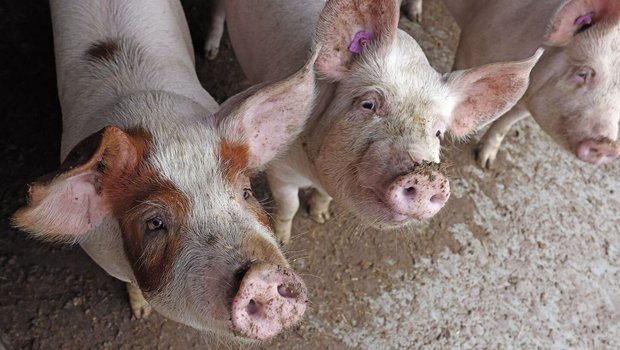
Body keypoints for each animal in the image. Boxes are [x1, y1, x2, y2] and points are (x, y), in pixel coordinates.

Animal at [10, 0, 330, 342]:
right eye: (154, 222)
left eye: (246, 192)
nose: (263, 275)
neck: (153, 114)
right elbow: (131, 284)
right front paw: (140, 313)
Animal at [223, 0, 544, 245]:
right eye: (369, 104)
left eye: (438, 132)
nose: (428, 176)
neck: (314, 173)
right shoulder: (280, 169)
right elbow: (289, 206)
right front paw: (283, 240)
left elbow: (321, 198)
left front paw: (321, 216)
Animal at [440, 0, 620, 168]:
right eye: (583, 73)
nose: (608, 146)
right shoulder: (468, 46)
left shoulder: (528, 103)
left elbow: (505, 123)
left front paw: (485, 164)